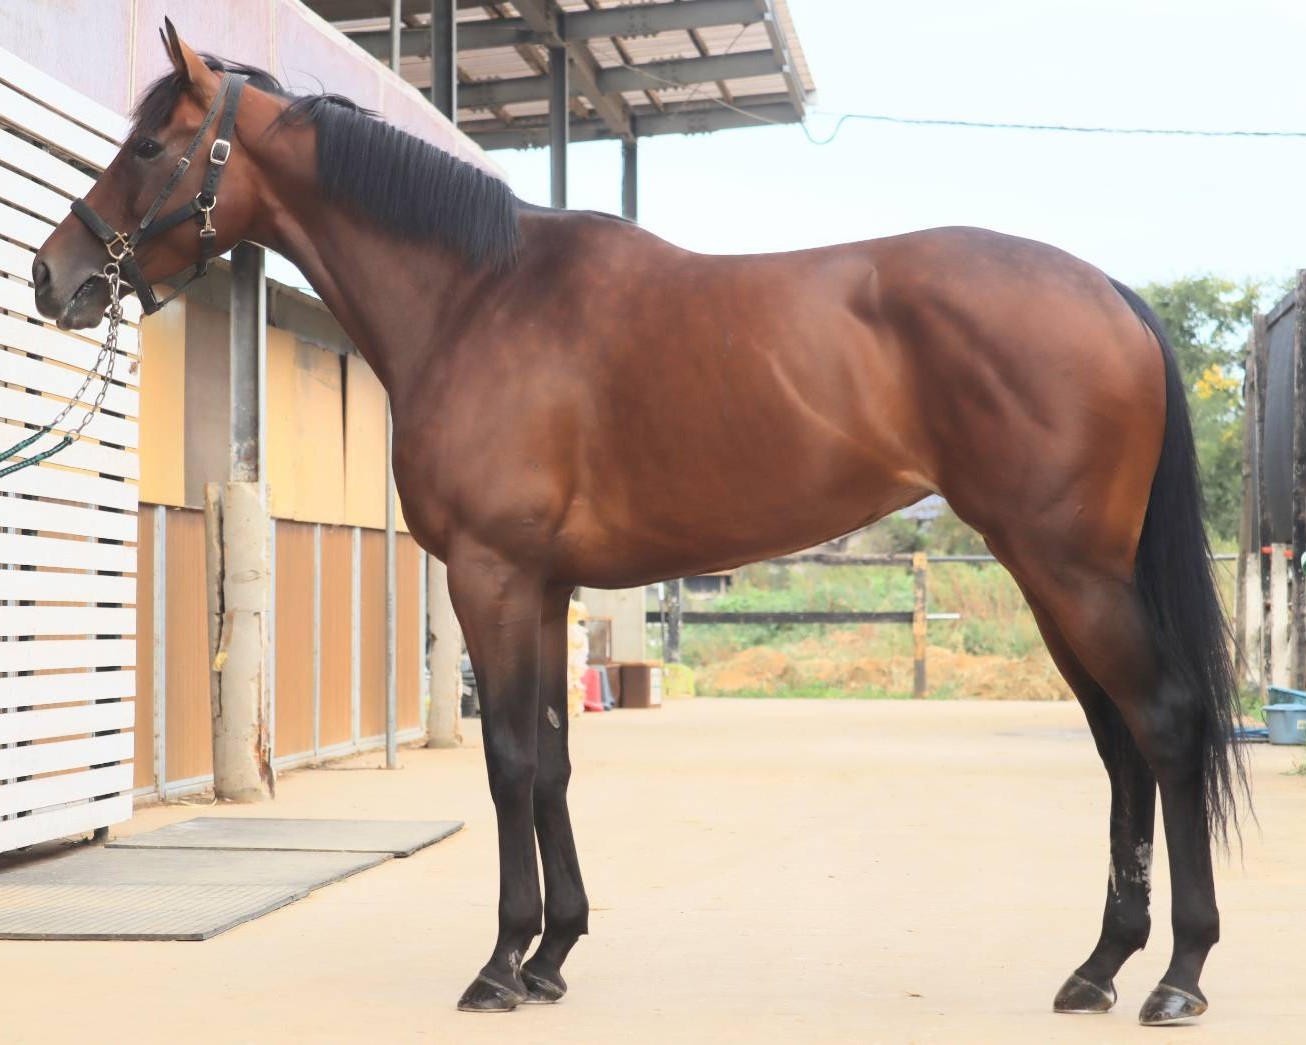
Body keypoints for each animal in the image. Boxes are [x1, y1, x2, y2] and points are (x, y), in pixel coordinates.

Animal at [33, 21, 1247, 1026]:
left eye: (150, 145)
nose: (55, 277)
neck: (479, 298)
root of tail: (1112, 294)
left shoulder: (492, 575)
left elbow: (510, 759)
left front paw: (498, 964)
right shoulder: (544, 586)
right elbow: (554, 761)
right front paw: (553, 954)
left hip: (1071, 569)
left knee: (1164, 725)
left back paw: (1180, 976)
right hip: (1052, 577)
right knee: (1120, 744)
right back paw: (1098, 967)